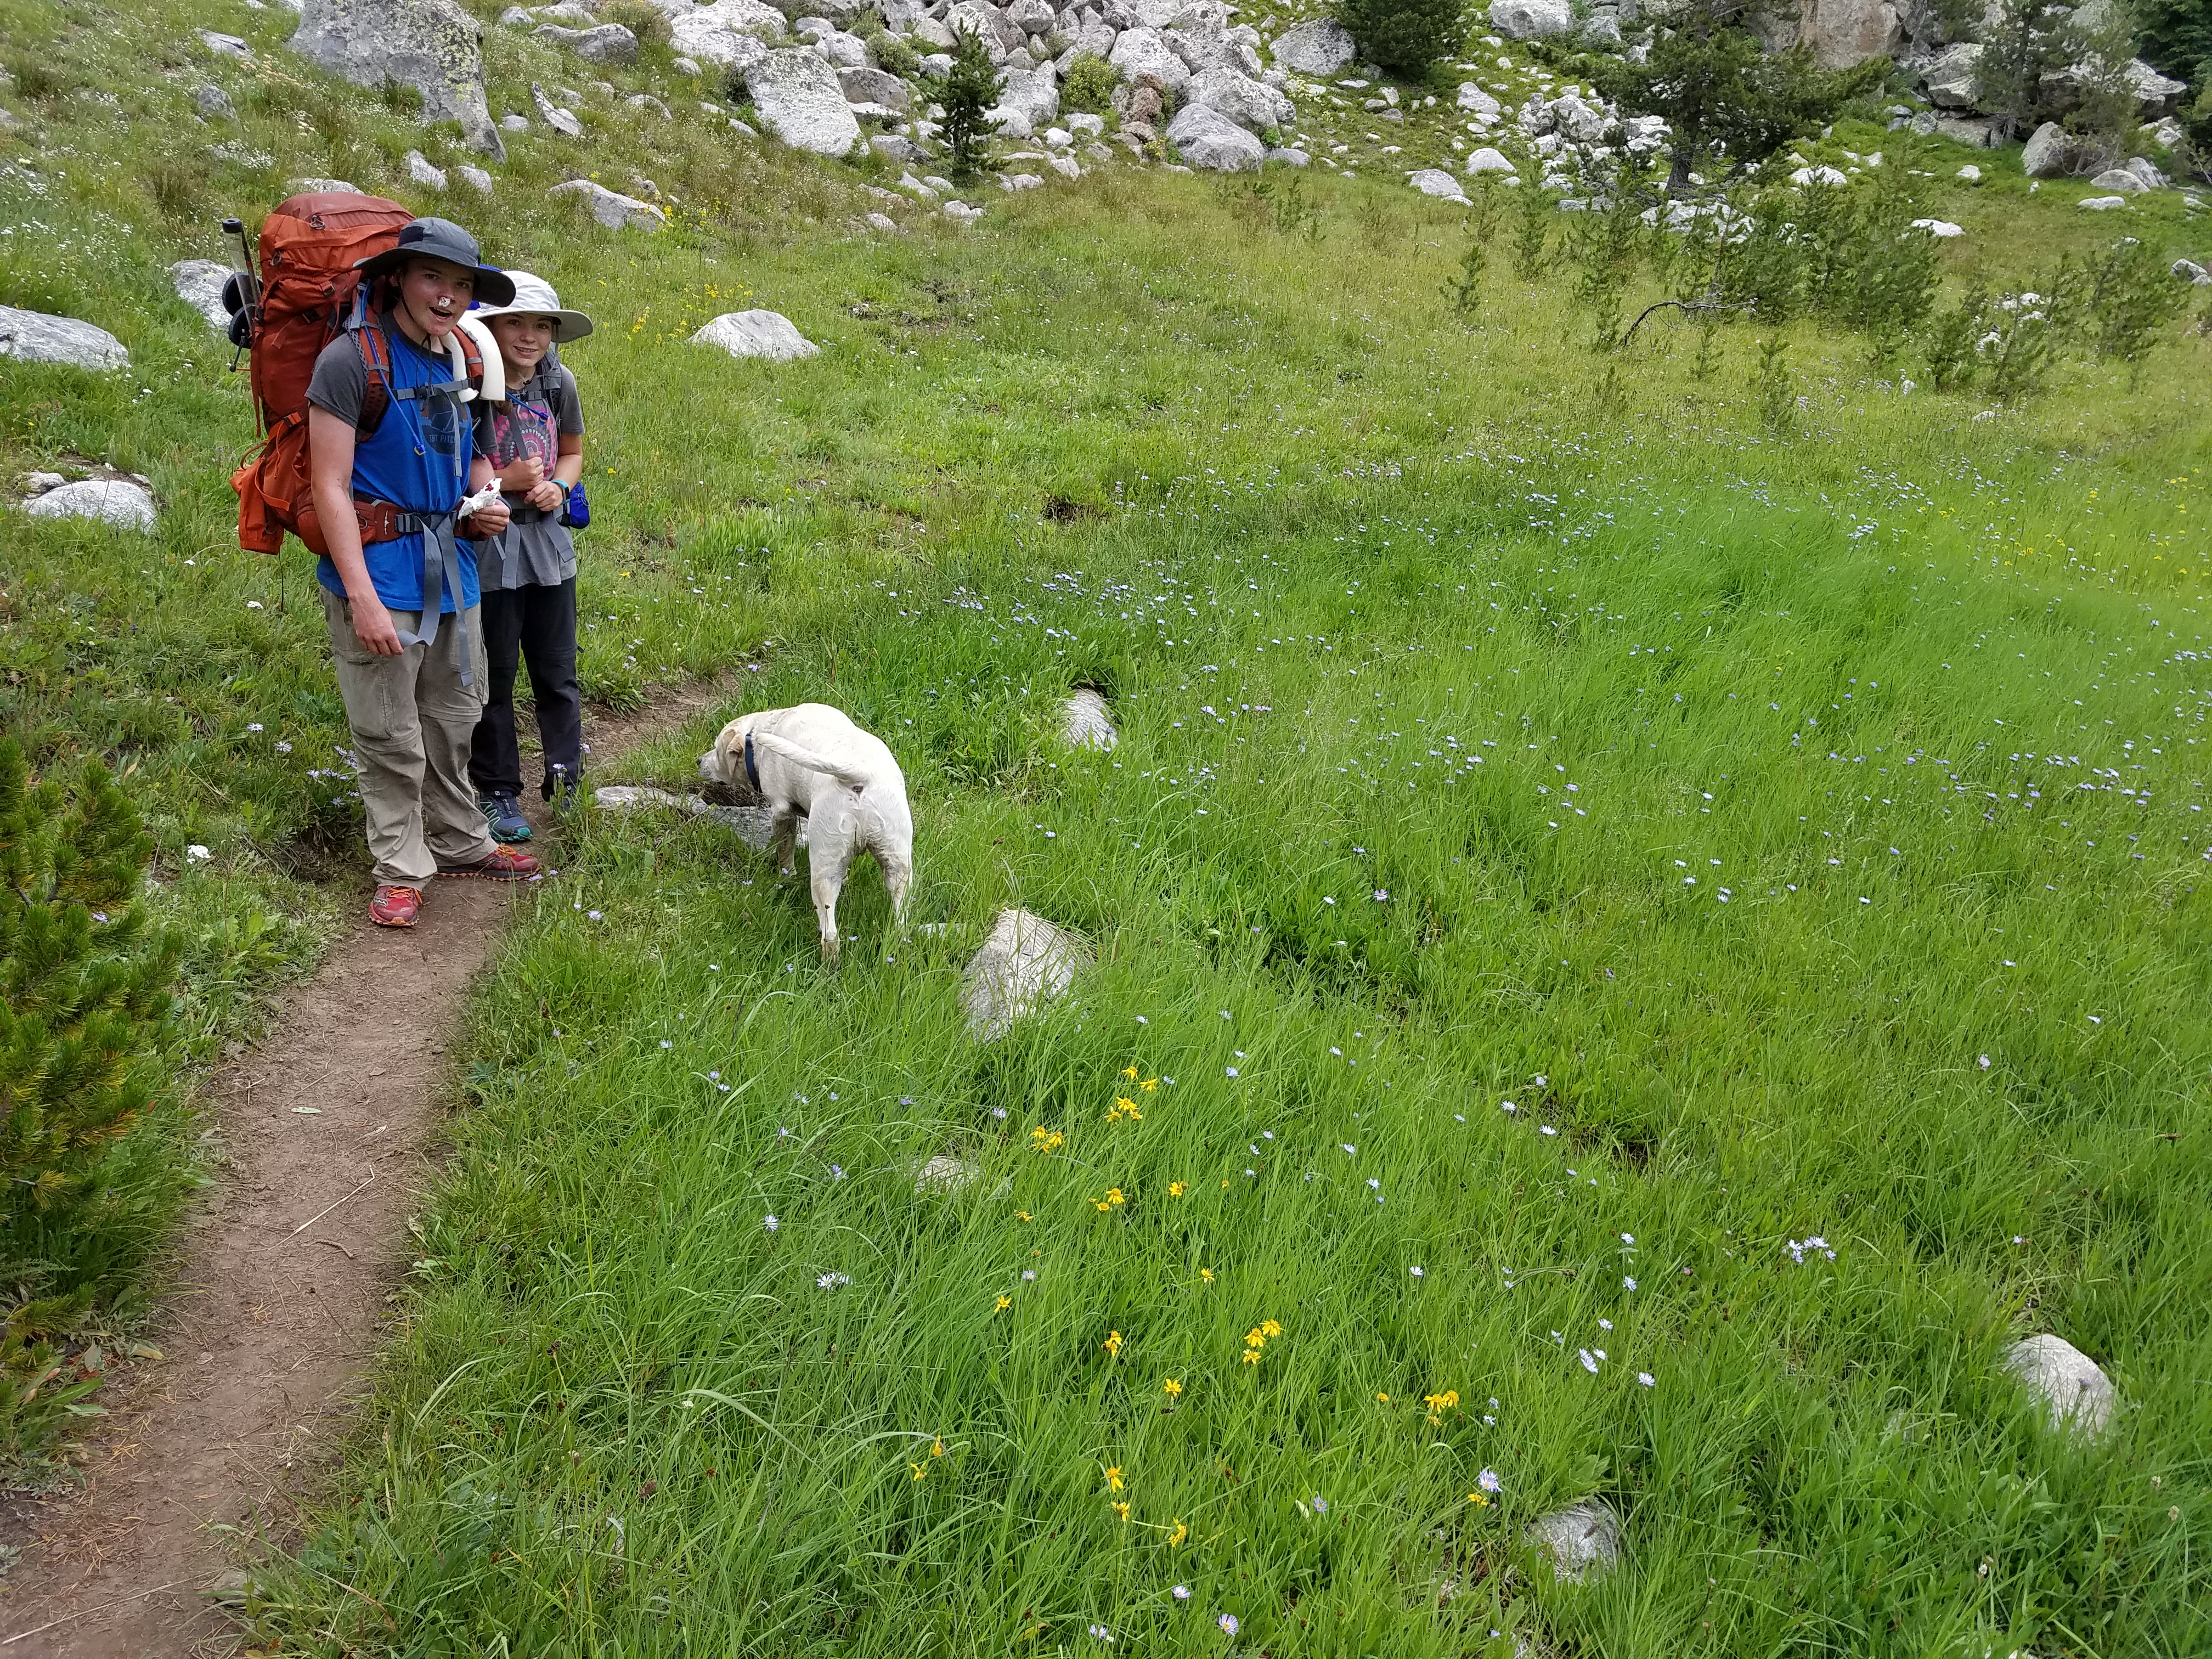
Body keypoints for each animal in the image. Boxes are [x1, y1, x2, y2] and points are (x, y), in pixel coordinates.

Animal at [708, 703, 916, 960]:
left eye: (716, 749)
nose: (698, 760)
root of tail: (859, 775)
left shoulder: (782, 812)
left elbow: (785, 854)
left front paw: (786, 877)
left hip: (823, 870)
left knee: (830, 934)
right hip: (898, 863)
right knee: (900, 917)